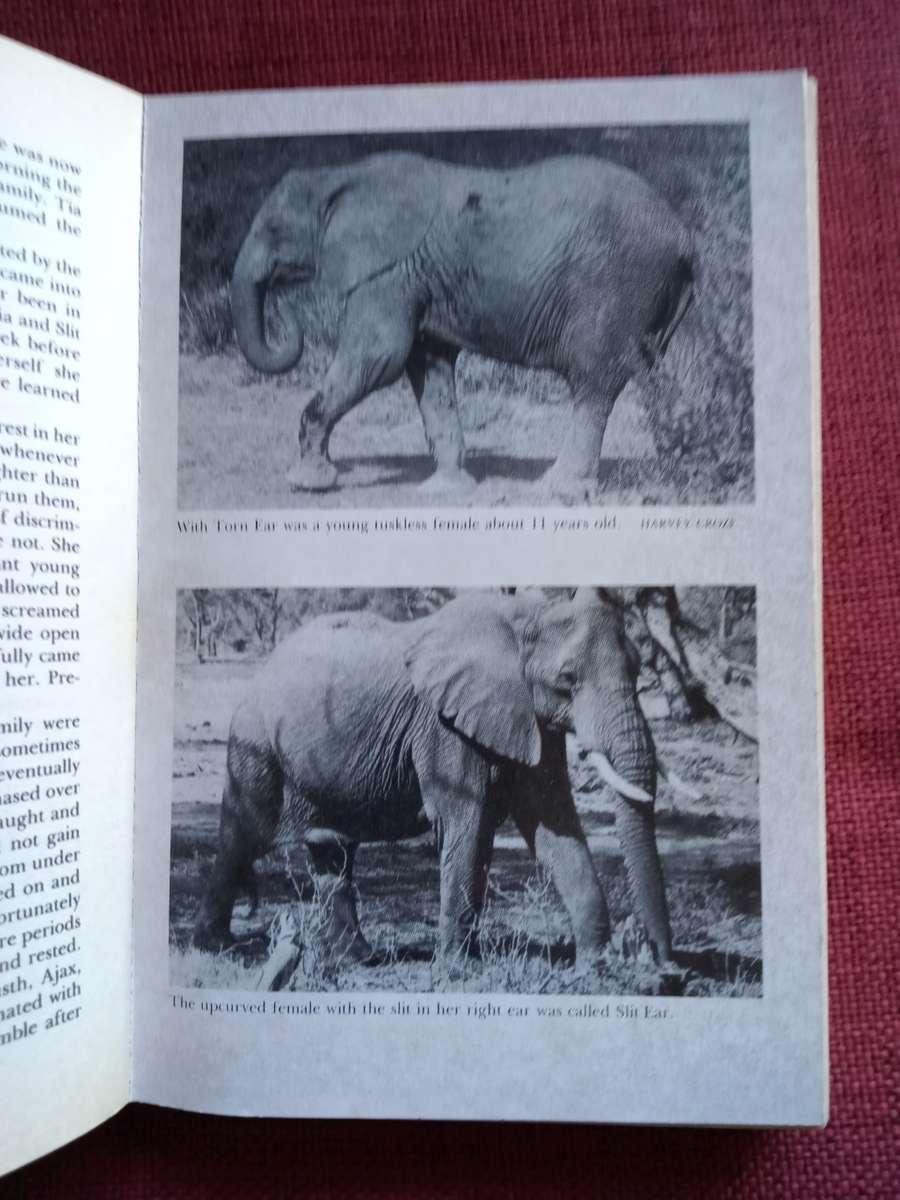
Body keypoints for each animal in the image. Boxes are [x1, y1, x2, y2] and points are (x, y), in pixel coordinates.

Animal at [194, 589, 676, 973]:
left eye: (638, 669)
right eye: (567, 679)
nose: (667, 970)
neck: (526, 616)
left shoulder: (527, 718)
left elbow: (554, 824)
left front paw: (597, 965)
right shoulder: (443, 725)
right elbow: (466, 823)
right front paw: (461, 970)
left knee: (332, 851)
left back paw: (358, 959)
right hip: (254, 744)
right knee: (241, 838)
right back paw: (214, 948)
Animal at [230, 152, 695, 494]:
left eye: (272, 229)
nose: (283, 312)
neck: (338, 176)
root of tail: (684, 236)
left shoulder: (389, 273)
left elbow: (379, 358)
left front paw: (308, 483)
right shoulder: (417, 278)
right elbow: (427, 367)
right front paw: (445, 490)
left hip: (616, 285)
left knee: (594, 380)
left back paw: (558, 488)